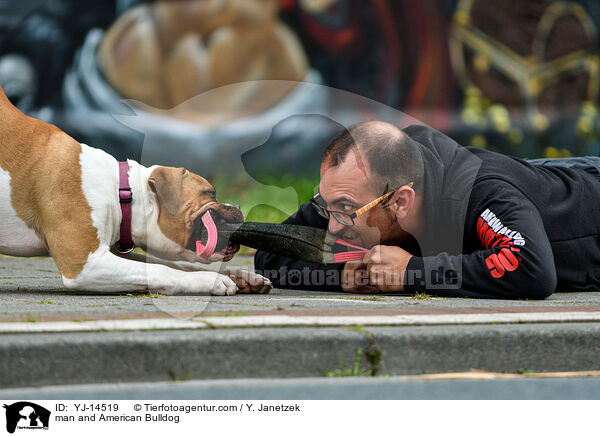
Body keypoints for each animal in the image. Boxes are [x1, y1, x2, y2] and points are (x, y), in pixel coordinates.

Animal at [0, 85, 272, 294]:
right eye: (210, 193)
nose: (238, 206)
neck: (120, 191)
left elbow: (179, 264)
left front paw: (241, 275)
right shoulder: (84, 263)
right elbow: (161, 269)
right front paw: (210, 281)